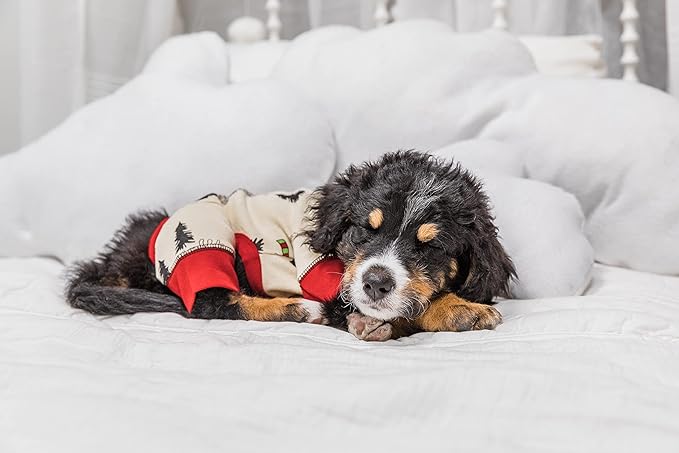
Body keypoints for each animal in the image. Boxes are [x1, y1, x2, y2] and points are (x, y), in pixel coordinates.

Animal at [66, 151, 515, 341]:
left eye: (431, 246)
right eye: (364, 230)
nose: (376, 283)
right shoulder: (329, 280)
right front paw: (461, 311)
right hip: (206, 240)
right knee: (211, 302)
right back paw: (296, 309)